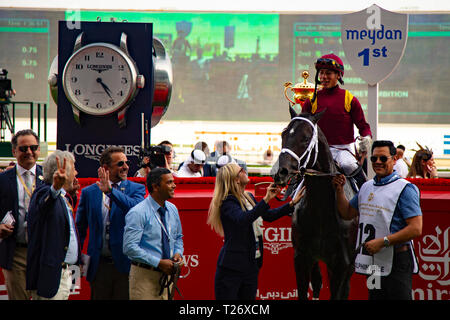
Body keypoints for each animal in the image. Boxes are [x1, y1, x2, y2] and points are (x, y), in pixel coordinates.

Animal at [272, 108, 356, 300]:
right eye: (284, 134)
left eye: (305, 137)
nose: (282, 172)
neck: (322, 209)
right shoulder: (302, 258)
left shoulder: (341, 264)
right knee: (317, 282)